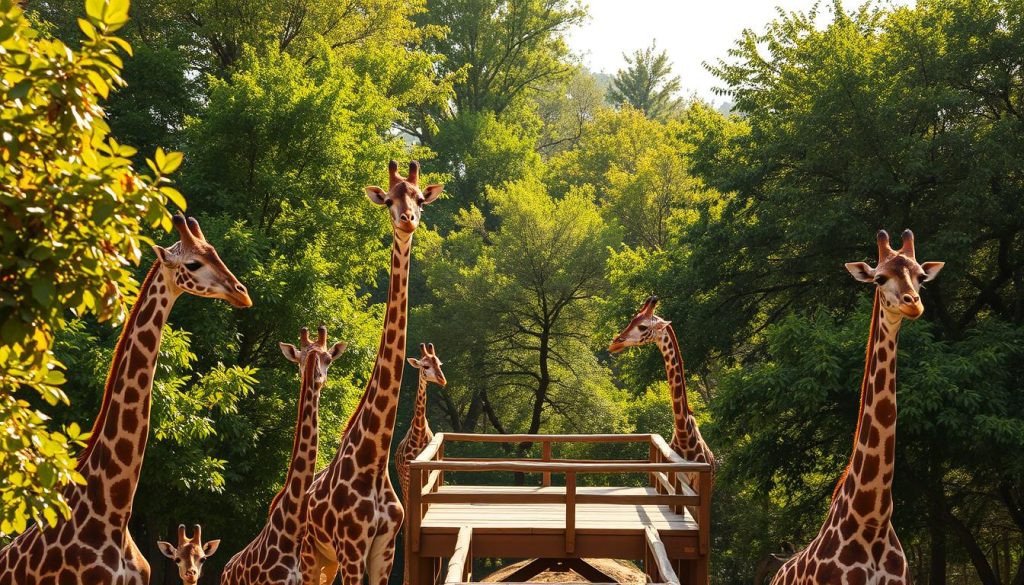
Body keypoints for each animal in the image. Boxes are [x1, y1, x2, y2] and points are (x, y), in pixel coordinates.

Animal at [300, 161, 443, 585]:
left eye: (419, 200)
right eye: (389, 200)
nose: (408, 220)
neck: (373, 461)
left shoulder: (383, 550)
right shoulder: (352, 548)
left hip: (327, 560)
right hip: (312, 554)